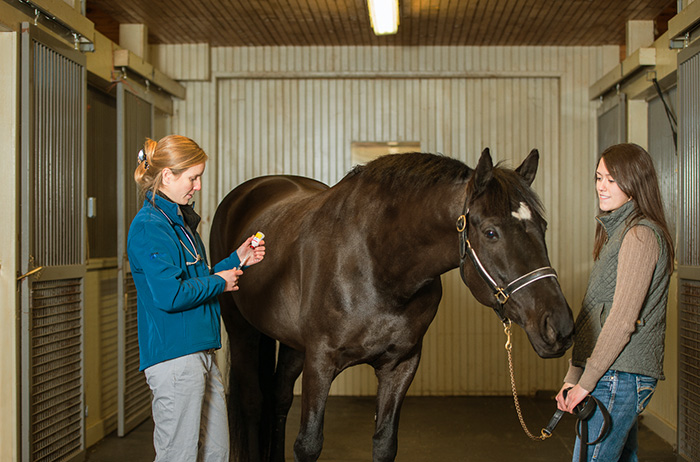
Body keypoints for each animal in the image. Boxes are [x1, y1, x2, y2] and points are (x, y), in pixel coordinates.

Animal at [212, 149, 576, 462]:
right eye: (490, 232)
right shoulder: (321, 360)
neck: (378, 260)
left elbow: (385, 443)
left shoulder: (401, 364)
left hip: (292, 345)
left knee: (279, 399)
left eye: (543, 227)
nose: (560, 328)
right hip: (242, 330)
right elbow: (308, 444)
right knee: (253, 402)